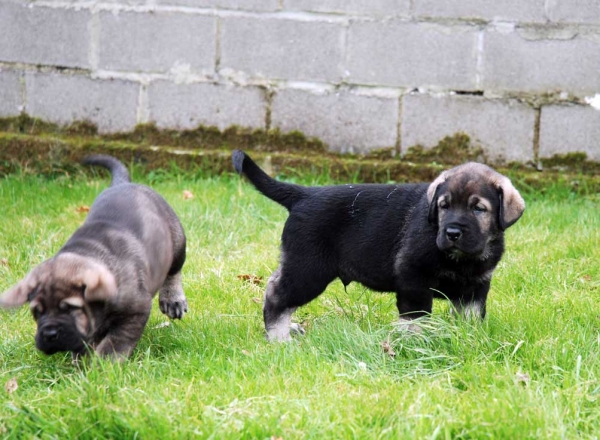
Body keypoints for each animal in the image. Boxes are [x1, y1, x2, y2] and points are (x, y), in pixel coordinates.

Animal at [0, 156, 188, 360]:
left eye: (70, 308)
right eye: (36, 312)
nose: (49, 334)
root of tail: (123, 184)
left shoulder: (136, 311)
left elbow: (117, 340)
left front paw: (105, 362)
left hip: (177, 240)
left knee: (174, 271)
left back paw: (173, 299)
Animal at [234, 150, 524, 340]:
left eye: (478, 209)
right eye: (444, 206)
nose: (452, 232)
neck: (461, 259)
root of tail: (303, 195)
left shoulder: (476, 287)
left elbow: (471, 317)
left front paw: (468, 340)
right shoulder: (414, 277)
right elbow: (415, 317)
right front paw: (415, 343)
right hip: (309, 270)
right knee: (276, 294)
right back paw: (279, 337)